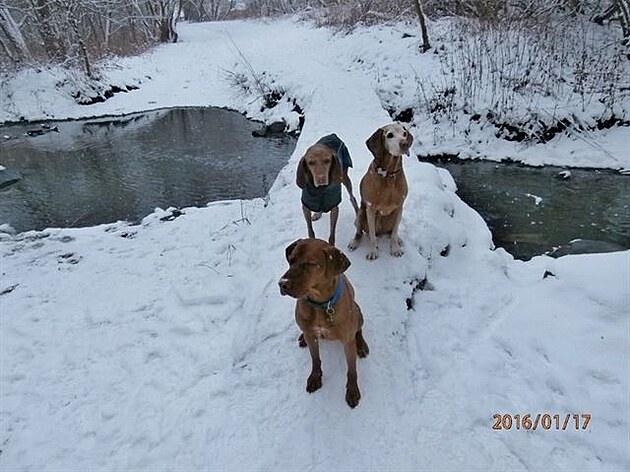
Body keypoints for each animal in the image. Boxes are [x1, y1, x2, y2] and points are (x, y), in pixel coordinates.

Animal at [278, 238, 370, 408]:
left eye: (309, 264)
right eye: (291, 260)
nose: (282, 284)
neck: (320, 304)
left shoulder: (347, 341)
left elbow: (352, 369)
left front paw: (352, 390)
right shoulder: (312, 335)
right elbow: (315, 359)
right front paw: (315, 377)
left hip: (358, 311)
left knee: (358, 330)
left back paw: (361, 345)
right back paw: (302, 337)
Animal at [350, 123, 414, 260]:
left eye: (404, 133)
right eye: (390, 135)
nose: (405, 144)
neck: (389, 175)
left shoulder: (399, 207)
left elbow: (394, 233)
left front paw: (395, 248)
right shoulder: (370, 208)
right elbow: (372, 237)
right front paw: (373, 251)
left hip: (394, 217)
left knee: (392, 232)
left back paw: (398, 239)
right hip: (361, 214)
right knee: (360, 232)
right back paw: (354, 242)